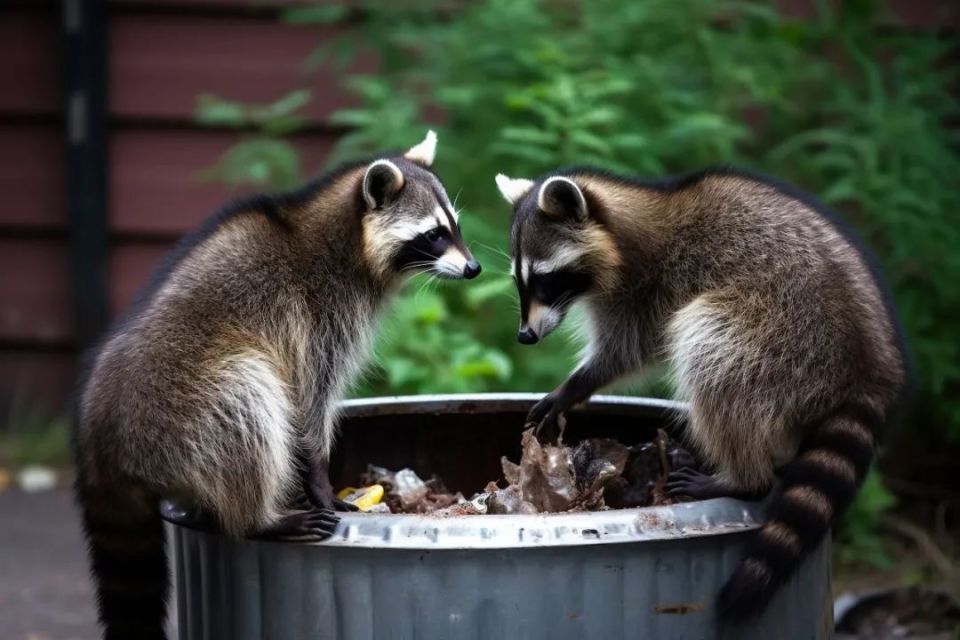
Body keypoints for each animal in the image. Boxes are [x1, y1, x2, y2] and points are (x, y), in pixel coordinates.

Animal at [73, 131, 480, 640]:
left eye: (454, 227)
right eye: (434, 234)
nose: (474, 268)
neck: (345, 236)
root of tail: (100, 445)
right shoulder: (318, 314)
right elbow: (307, 400)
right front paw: (319, 477)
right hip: (181, 406)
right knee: (249, 399)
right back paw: (258, 519)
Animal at [496, 169, 908, 620]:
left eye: (545, 279)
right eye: (519, 281)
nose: (525, 336)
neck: (623, 224)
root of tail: (870, 372)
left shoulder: (646, 289)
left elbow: (627, 352)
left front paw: (574, 386)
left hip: (787, 335)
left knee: (710, 349)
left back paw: (744, 479)